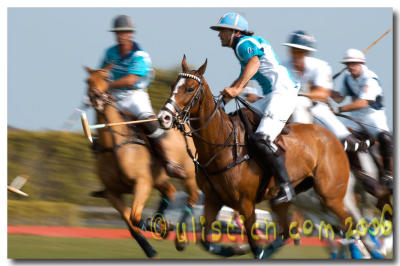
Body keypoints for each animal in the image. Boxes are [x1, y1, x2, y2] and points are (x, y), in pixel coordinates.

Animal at [83, 65, 199, 258]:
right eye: (88, 81)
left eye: (106, 78)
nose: (96, 97)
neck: (115, 145)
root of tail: (183, 123)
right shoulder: (112, 192)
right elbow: (131, 223)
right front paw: (152, 244)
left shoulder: (142, 182)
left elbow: (135, 217)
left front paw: (157, 227)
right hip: (159, 178)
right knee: (171, 191)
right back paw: (163, 224)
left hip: (189, 173)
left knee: (193, 196)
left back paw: (180, 239)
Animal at [158, 55, 354, 258]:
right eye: (173, 85)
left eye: (190, 88)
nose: (164, 117)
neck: (221, 146)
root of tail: (336, 138)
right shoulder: (213, 200)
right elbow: (205, 241)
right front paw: (233, 248)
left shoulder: (246, 204)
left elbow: (254, 244)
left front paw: (242, 247)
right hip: (290, 200)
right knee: (286, 232)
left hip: (330, 195)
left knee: (349, 223)